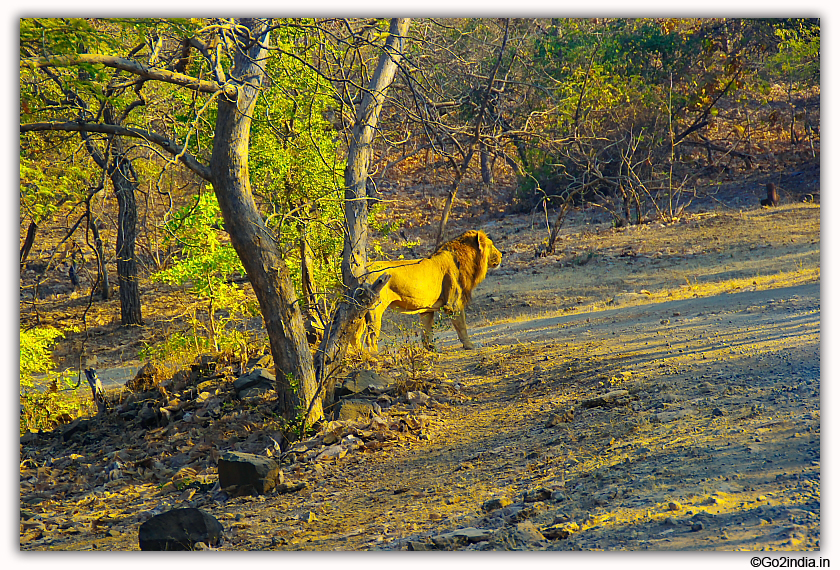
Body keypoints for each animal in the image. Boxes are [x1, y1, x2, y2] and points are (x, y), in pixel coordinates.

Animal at [352, 227, 502, 350]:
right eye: (491, 245)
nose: (502, 254)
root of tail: (363, 271)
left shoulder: (427, 310)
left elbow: (427, 331)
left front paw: (431, 349)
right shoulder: (454, 304)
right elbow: (462, 328)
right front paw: (470, 346)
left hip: (361, 311)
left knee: (355, 335)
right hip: (375, 308)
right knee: (370, 338)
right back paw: (374, 358)